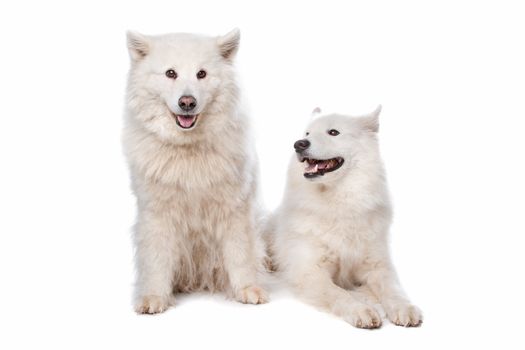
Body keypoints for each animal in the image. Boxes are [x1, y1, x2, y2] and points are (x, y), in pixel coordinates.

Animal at [123, 28, 268, 314]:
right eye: (170, 73)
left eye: (202, 74)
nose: (187, 102)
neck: (188, 150)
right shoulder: (157, 213)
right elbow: (156, 259)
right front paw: (154, 297)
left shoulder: (235, 208)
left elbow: (241, 254)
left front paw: (248, 289)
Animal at [268, 106, 424, 328]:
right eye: (307, 134)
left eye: (333, 132)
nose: (299, 144)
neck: (339, 201)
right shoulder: (310, 271)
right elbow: (338, 293)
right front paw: (361, 309)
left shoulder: (377, 266)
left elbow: (392, 289)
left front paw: (404, 307)